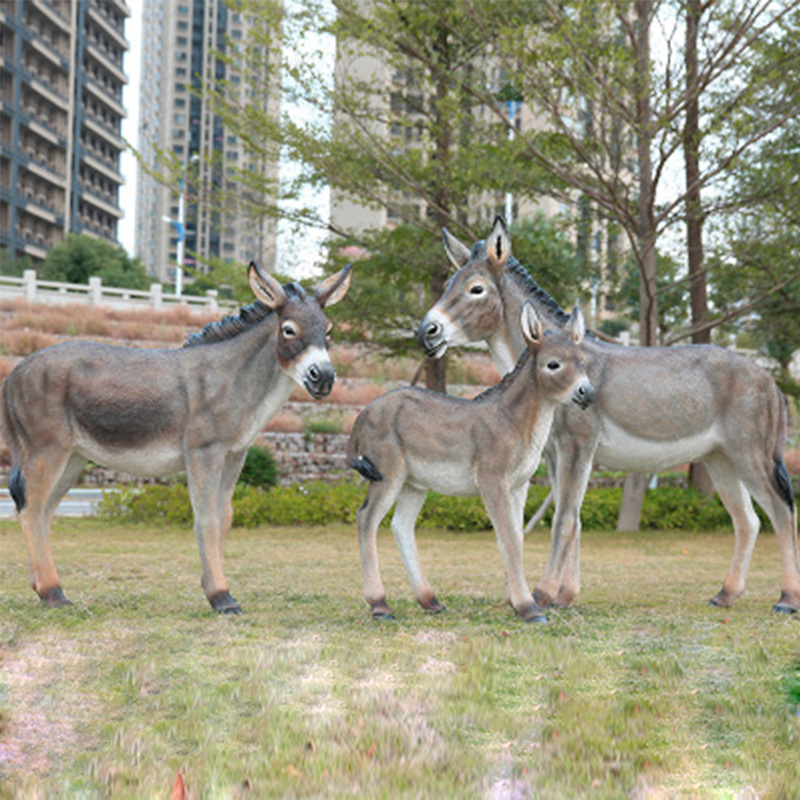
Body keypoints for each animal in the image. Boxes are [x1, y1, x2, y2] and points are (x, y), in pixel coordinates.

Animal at [350, 304, 592, 620]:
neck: (513, 422)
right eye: (553, 364)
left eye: (583, 363)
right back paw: (379, 604)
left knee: (401, 525)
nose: (586, 393)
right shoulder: (492, 479)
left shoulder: (519, 485)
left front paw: (517, 601)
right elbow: (508, 539)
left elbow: (516, 538)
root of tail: (363, 413)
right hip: (387, 472)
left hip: (414, 483)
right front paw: (528, 608)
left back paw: (429, 600)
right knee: (366, 518)